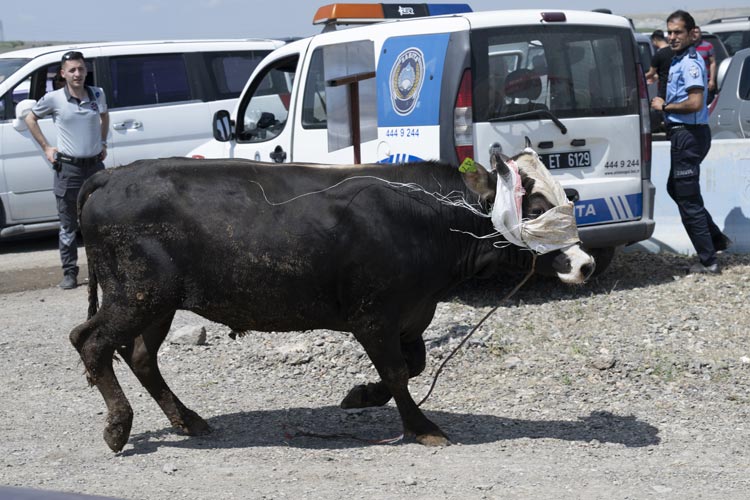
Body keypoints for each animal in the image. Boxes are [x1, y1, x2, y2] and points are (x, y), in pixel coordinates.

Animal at [72, 154, 600, 452]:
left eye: (566, 197)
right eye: (536, 208)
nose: (585, 264)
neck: (428, 217)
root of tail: (114, 175)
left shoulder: (412, 316)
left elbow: (412, 365)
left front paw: (361, 396)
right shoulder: (372, 317)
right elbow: (397, 371)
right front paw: (421, 426)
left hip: (157, 302)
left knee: (141, 356)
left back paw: (187, 420)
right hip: (137, 294)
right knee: (91, 341)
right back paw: (118, 428)